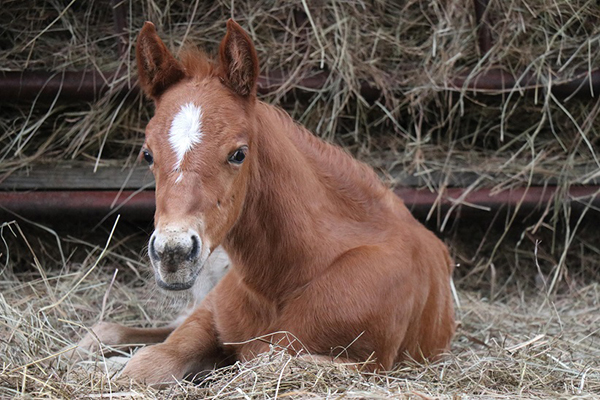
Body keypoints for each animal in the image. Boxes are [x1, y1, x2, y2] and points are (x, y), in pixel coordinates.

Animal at [94, 19, 454, 384]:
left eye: (238, 154)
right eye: (147, 154)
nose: (173, 253)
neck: (283, 279)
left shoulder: (363, 363)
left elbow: (259, 361)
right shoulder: (208, 317)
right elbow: (148, 362)